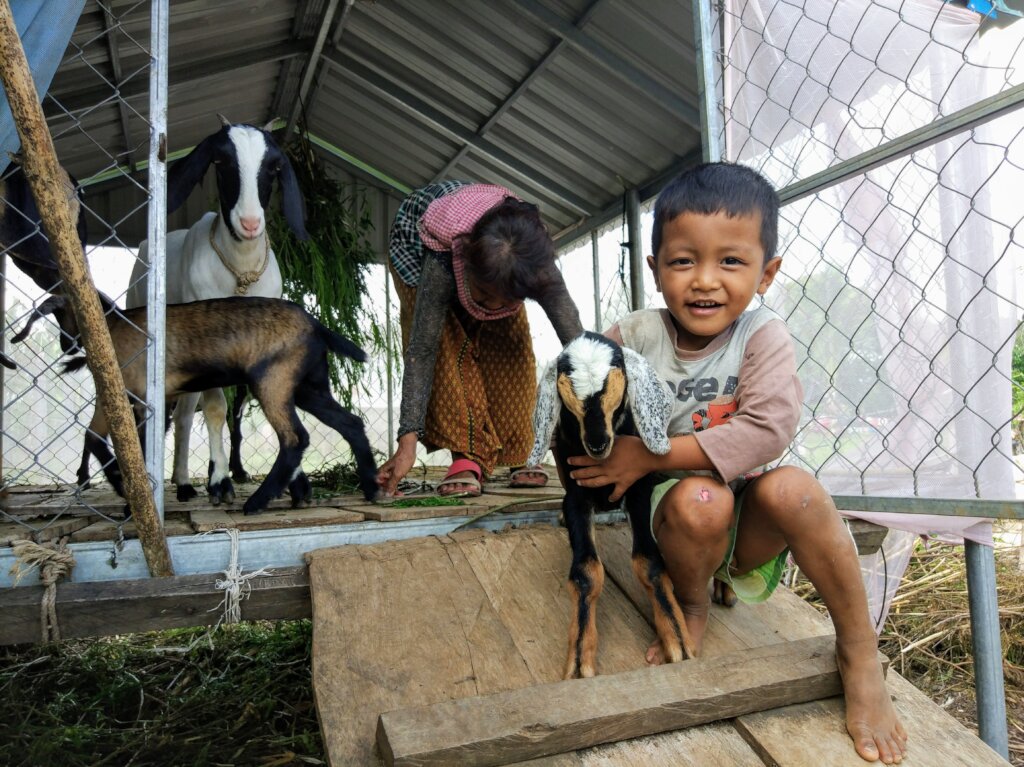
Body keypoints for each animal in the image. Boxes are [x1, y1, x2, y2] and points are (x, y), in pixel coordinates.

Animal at [17, 296, 380, 512]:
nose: (65, 346)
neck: (112, 326)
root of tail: (317, 326)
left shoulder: (134, 398)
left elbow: (125, 446)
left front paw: (124, 489)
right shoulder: (137, 398)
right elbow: (101, 437)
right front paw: (123, 486)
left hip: (271, 381)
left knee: (295, 438)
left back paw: (257, 502)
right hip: (307, 386)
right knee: (351, 423)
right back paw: (370, 488)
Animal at [125, 116, 305, 505]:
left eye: (274, 166)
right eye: (221, 162)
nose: (250, 223)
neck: (241, 274)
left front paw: (292, 481)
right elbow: (216, 408)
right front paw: (220, 480)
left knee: (183, 414)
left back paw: (183, 482)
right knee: (158, 411)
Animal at [528, 331, 696, 679]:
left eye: (613, 381)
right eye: (567, 389)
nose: (597, 443)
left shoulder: (638, 489)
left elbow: (649, 562)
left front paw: (678, 640)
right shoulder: (575, 498)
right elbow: (586, 572)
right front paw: (579, 659)